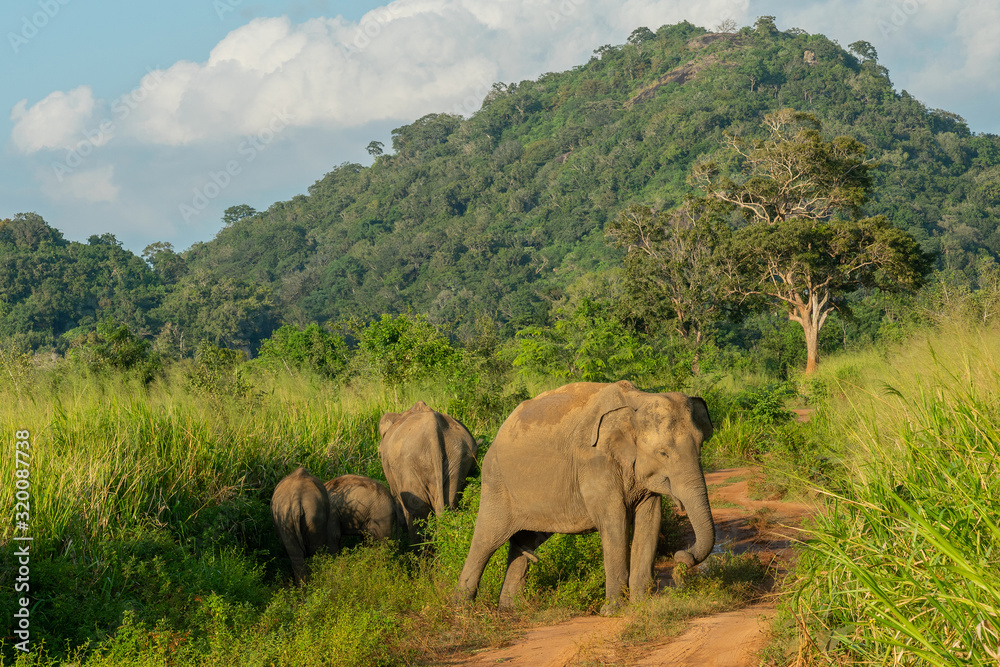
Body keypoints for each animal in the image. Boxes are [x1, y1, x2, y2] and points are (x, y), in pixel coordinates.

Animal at [454, 380, 715, 615]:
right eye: (663, 453)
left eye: (701, 445)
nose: (681, 559)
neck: (637, 400)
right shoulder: (594, 461)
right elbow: (614, 522)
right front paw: (612, 611)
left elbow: (650, 520)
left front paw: (642, 605)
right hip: (496, 482)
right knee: (486, 540)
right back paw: (463, 611)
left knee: (524, 541)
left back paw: (510, 609)